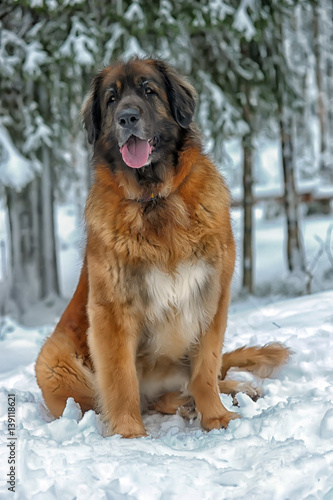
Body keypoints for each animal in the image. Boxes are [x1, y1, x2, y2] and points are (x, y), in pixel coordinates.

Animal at [34, 58, 290, 438]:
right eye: (111, 99)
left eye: (148, 90)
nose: (127, 118)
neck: (155, 200)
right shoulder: (111, 310)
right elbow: (121, 380)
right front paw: (129, 435)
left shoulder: (212, 296)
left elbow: (205, 369)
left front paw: (217, 417)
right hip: (54, 359)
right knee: (143, 399)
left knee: (199, 380)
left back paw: (231, 390)